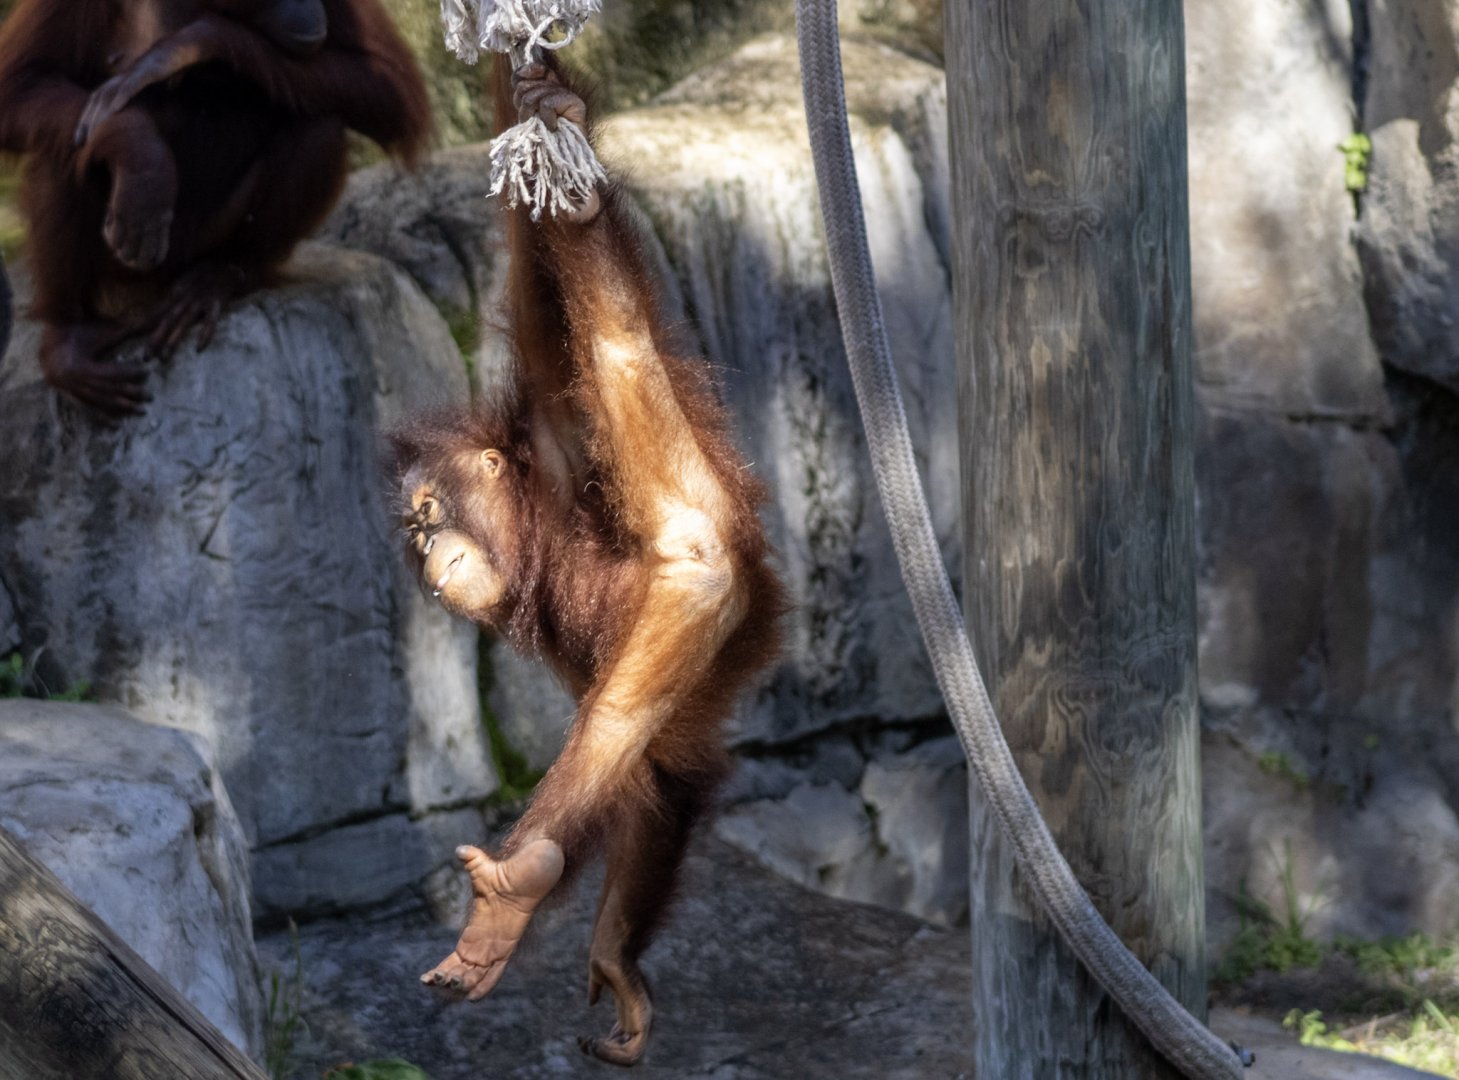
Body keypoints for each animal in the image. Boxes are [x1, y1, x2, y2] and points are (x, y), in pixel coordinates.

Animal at [389, 61, 784, 1066]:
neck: (535, 513)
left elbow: (564, 318)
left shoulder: (565, 430)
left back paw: (516, 886)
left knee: (612, 336)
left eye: (424, 514)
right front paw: (614, 960)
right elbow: (653, 783)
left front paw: (550, 129)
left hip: (692, 558)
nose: (424, 549)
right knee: (648, 761)